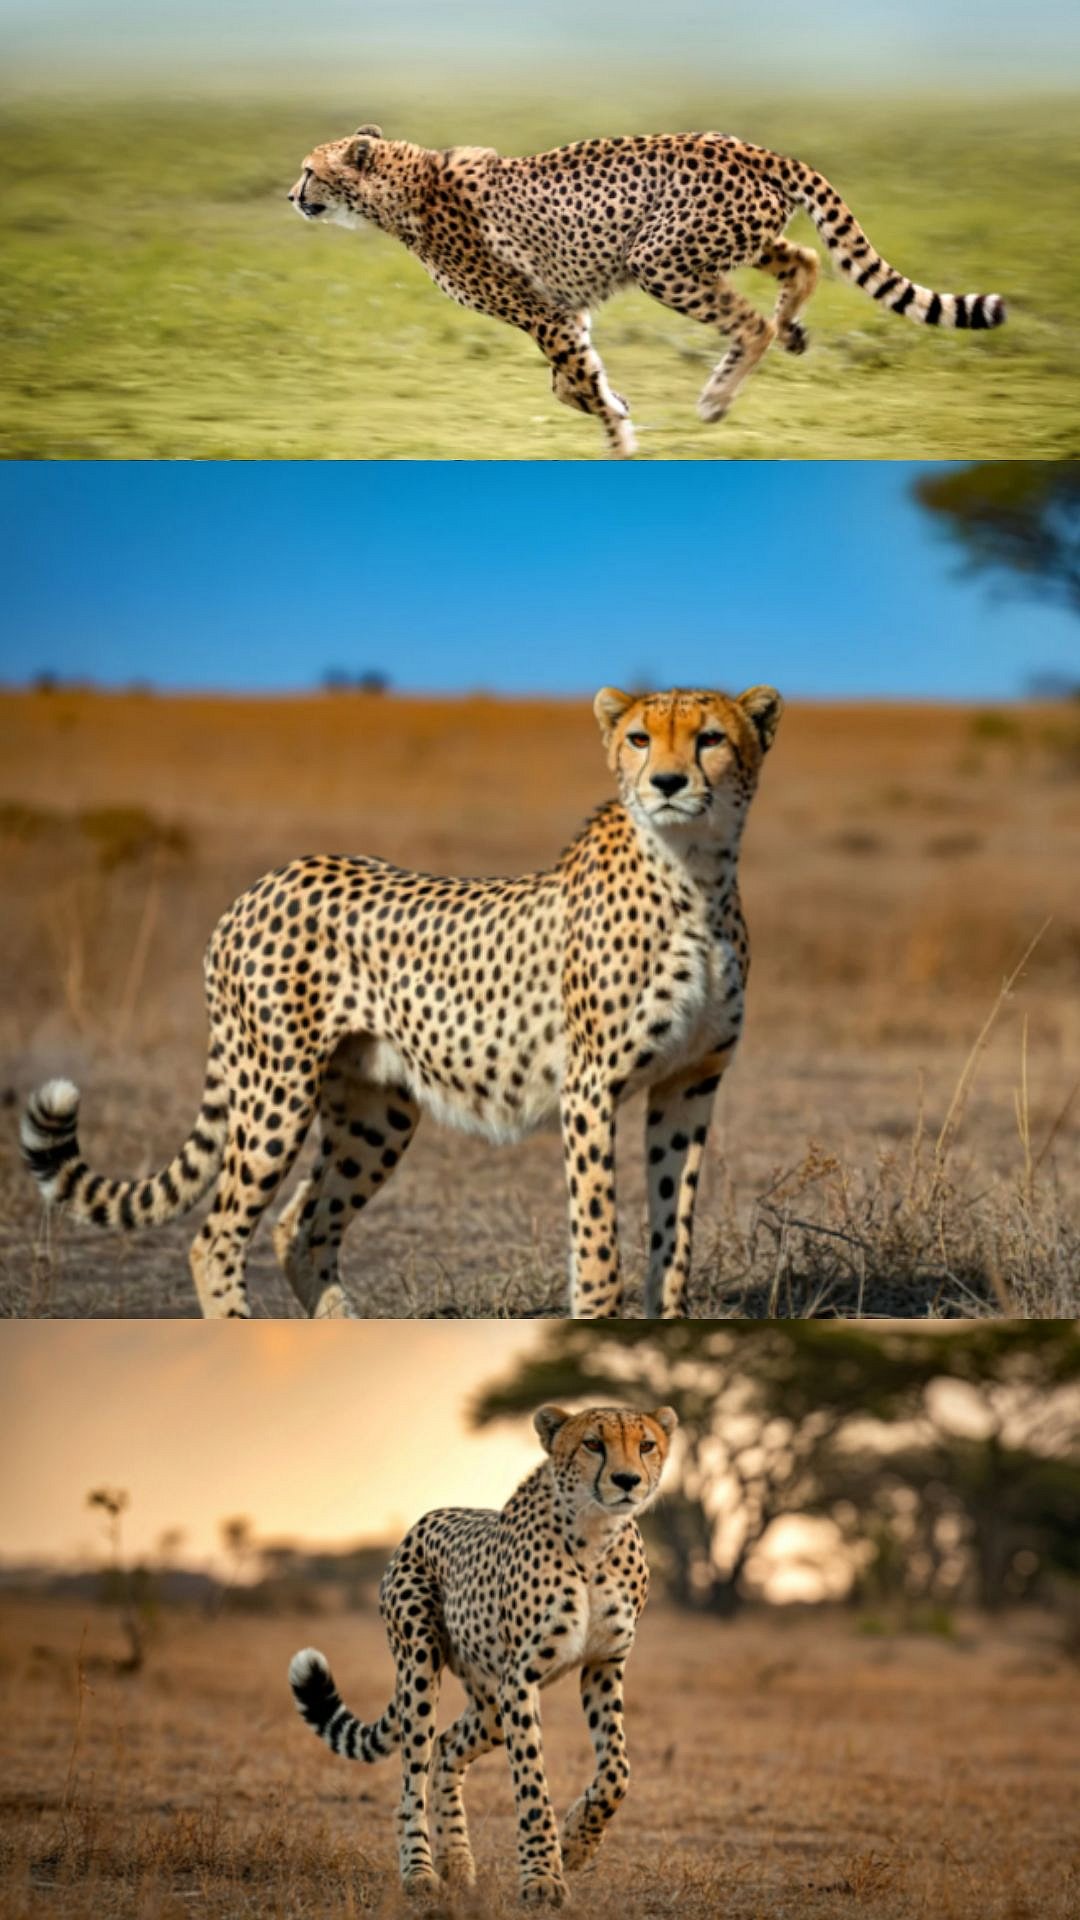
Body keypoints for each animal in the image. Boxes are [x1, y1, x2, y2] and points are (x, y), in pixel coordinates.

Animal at [21, 683, 782, 1320]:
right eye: (640, 739)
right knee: (216, 1237)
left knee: (302, 1227)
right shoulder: (590, 1088)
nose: (667, 783)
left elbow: (673, 1228)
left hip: (374, 1109)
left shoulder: (690, 1082)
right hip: (277, 1090)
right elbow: (598, 1238)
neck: (696, 877)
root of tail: (260, 885)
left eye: (710, 738)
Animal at [289, 122, 1006, 456]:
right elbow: (570, 383)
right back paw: (794, 331)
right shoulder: (563, 313)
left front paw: (621, 443)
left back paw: (718, 397)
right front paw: (619, 405)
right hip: (730, 242)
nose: (292, 196)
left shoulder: (544, 315)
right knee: (803, 259)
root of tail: (748, 147)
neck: (403, 186)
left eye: (308, 170)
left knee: (752, 322)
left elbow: (574, 382)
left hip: (661, 260)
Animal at [289, 1402, 677, 1905]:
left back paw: (457, 1861)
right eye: (593, 1443)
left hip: (491, 1701)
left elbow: (617, 1770)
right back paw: (420, 1870)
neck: (595, 1538)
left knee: (445, 1747)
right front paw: (542, 1876)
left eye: (646, 1444)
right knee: (412, 1778)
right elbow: (532, 1785)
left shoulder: (603, 1665)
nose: (627, 1480)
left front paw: (576, 1843)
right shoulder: (523, 1680)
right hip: (421, 1666)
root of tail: (426, 1518)